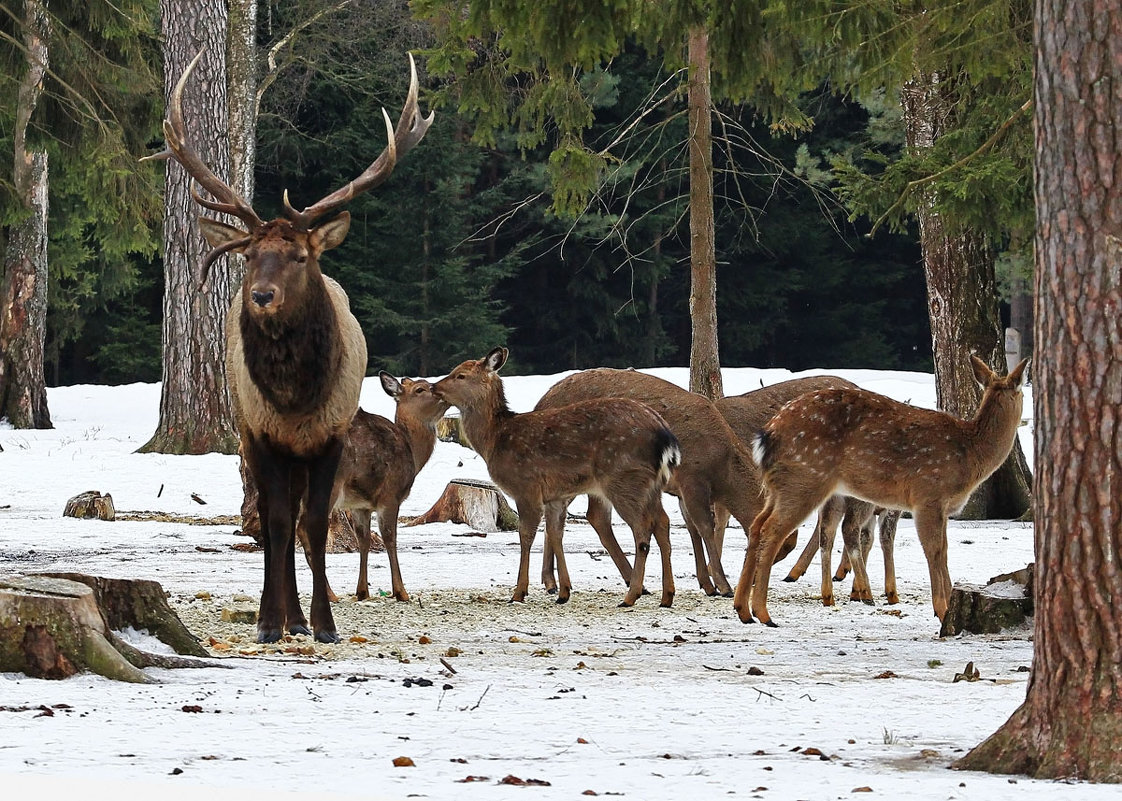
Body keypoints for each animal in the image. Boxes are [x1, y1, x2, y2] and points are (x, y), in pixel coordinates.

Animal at [142, 46, 430, 641]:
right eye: (250, 254)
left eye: (300, 255)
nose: (261, 295)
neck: (296, 399)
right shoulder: (262, 432)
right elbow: (275, 523)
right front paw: (270, 621)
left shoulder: (331, 434)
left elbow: (315, 523)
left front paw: (323, 623)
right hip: (246, 429)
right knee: (275, 521)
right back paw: (276, 615)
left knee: (298, 518)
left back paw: (300, 617)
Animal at [300, 370, 453, 601]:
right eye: (420, 389)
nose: (444, 393)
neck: (412, 452)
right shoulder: (390, 495)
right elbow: (390, 537)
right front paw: (401, 591)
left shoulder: (359, 505)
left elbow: (363, 540)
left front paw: (362, 591)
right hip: (328, 487)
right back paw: (330, 594)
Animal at [430, 350, 677, 605]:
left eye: (460, 375)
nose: (433, 387)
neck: (494, 441)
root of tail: (665, 436)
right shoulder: (556, 496)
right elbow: (556, 534)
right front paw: (563, 591)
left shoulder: (526, 487)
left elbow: (526, 535)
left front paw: (519, 592)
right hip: (652, 485)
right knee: (662, 522)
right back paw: (667, 595)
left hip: (624, 480)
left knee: (642, 528)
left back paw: (632, 595)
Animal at [731, 356, 1027, 623]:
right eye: (1023, 389)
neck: (970, 455)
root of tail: (767, 435)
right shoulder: (928, 495)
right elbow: (934, 550)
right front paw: (941, 611)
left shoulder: (939, 507)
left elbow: (943, 550)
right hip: (804, 479)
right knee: (773, 530)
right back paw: (763, 612)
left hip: (779, 486)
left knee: (757, 525)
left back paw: (743, 609)